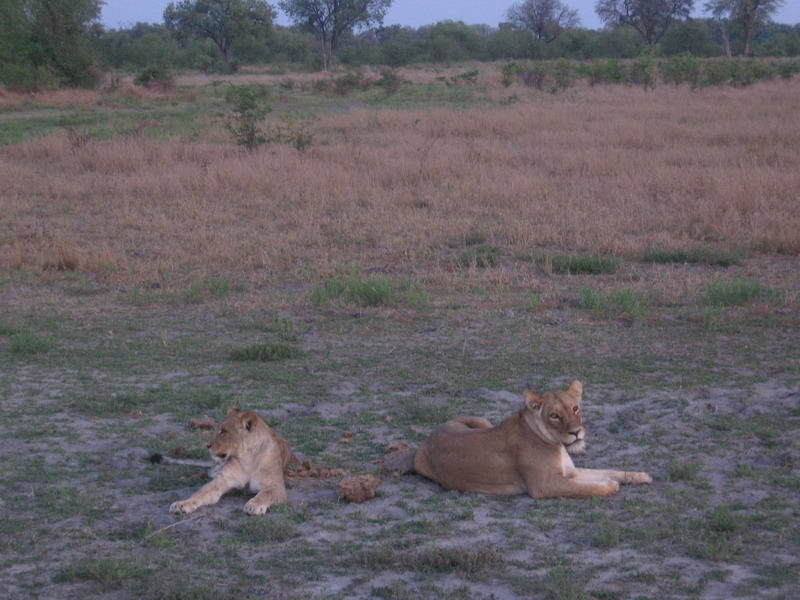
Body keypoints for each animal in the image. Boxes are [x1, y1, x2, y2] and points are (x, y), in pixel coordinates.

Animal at [412, 382, 648, 500]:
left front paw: (640, 476)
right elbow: (585, 488)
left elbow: (608, 470)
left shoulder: (570, 472)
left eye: (575, 408)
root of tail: (429, 437)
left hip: (482, 421)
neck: (557, 444)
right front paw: (609, 486)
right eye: (554, 415)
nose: (576, 433)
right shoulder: (543, 486)